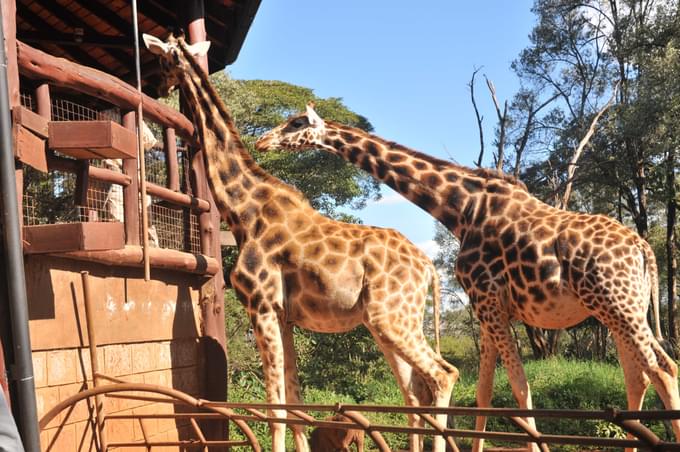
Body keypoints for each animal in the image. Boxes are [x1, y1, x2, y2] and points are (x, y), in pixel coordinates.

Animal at [144, 33, 460, 450]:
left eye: (163, 59)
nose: (154, 85)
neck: (242, 209)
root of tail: (429, 268)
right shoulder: (284, 315)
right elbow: (295, 405)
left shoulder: (260, 304)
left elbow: (275, 409)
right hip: (388, 322)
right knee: (415, 391)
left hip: (391, 318)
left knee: (442, 375)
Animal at [255, 103, 680, 452]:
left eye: (296, 123)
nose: (261, 141)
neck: (461, 210)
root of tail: (644, 249)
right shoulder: (488, 307)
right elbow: (485, 391)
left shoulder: (488, 301)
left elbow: (520, 389)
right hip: (624, 310)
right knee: (641, 375)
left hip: (616, 305)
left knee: (662, 370)